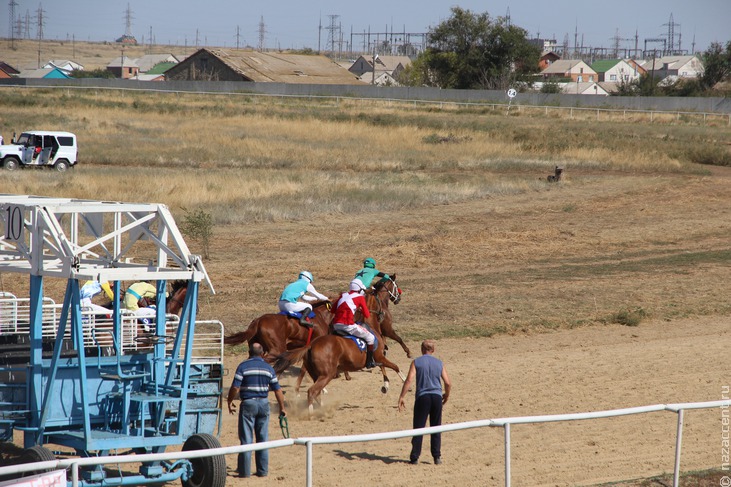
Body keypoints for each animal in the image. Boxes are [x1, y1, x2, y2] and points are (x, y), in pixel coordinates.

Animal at [274, 328, 406, 416]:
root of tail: (311, 345)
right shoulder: (379, 357)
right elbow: (395, 366)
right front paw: (404, 380)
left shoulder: (378, 359)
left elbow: (385, 368)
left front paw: (385, 386)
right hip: (327, 375)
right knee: (312, 391)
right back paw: (312, 414)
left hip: (317, 375)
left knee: (317, 392)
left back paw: (323, 408)